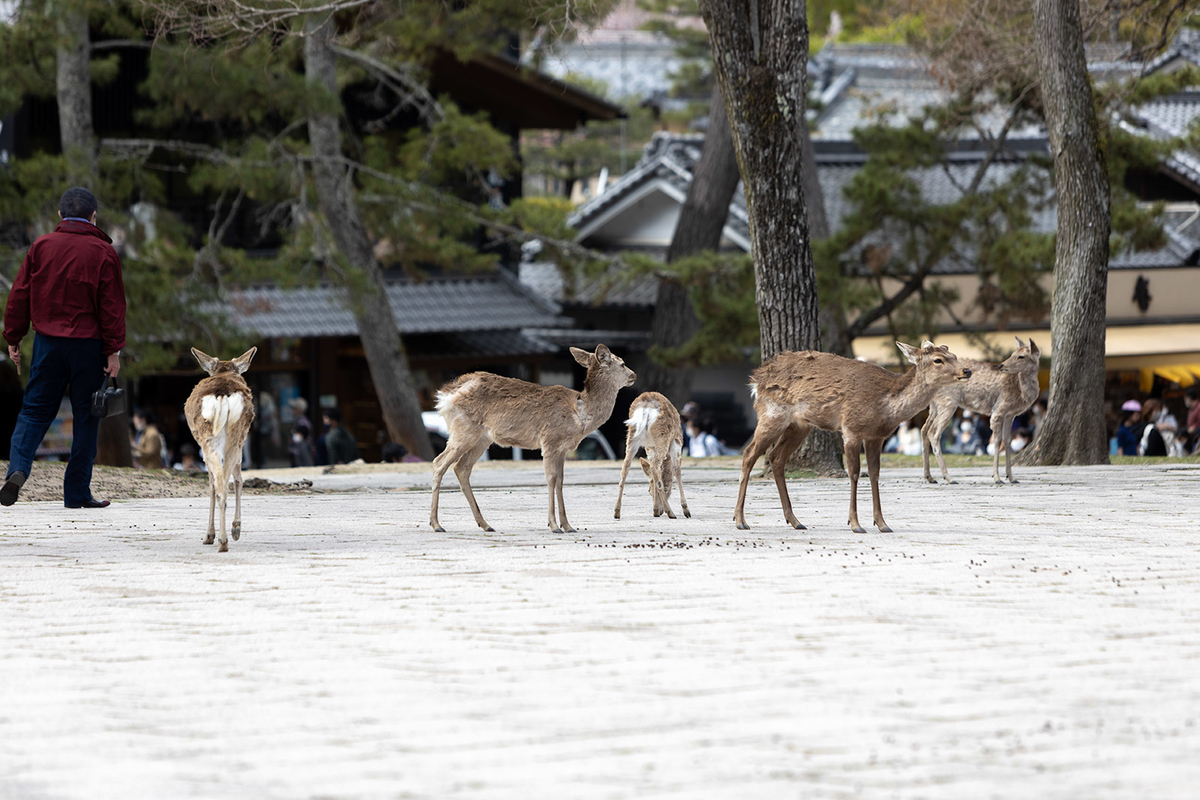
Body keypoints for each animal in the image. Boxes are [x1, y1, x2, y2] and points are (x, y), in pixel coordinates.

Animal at [183, 347, 256, 554]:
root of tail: (223, 395)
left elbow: (211, 485)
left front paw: (210, 535)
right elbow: (236, 479)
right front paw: (234, 529)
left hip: (209, 439)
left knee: (220, 484)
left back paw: (221, 540)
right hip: (236, 436)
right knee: (230, 479)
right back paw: (230, 534)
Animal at [432, 343, 638, 534]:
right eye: (622, 363)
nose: (633, 375)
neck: (580, 415)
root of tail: (445, 395)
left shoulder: (563, 449)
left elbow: (560, 481)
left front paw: (568, 526)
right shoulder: (550, 440)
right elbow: (551, 478)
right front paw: (554, 525)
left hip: (482, 438)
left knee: (461, 467)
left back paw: (485, 524)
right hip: (463, 429)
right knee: (439, 463)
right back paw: (436, 524)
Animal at [729, 340, 974, 534]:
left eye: (953, 355)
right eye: (938, 360)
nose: (967, 370)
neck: (886, 405)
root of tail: (756, 380)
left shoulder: (876, 436)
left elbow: (874, 474)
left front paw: (882, 523)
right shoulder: (851, 428)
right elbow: (855, 473)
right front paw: (855, 523)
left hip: (799, 425)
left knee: (775, 457)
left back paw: (795, 520)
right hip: (772, 414)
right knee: (749, 454)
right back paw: (740, 520)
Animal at [916, 335, 1041, 484]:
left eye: (1021, 356)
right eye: (1012, 354)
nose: (1001, 365)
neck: (1021, 393)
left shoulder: (1010, 415)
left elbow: (1008, 440)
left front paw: (1011, 478)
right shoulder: (999, 410)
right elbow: (997, 441)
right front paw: (997, 477)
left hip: (934, 405)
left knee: (924, 429)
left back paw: (929, 476)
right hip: (948, 402)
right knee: (933, 432)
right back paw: (948, 478)